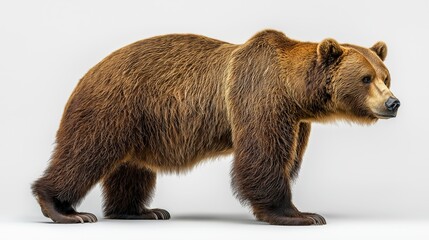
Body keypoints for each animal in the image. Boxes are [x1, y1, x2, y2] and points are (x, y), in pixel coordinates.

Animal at [32, 29, 398, 225]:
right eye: (366, 78)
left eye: (386, 76)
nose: (393, 103)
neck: (293, 91)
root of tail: (88, 73)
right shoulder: (258, 97)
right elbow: (262, 157)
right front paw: (300, 214)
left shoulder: (298, 122)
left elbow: (287, 158)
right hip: (112, 107)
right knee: (85, 154)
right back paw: (64, 210)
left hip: (139, 123)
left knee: (131, 168)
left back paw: (141, 211)